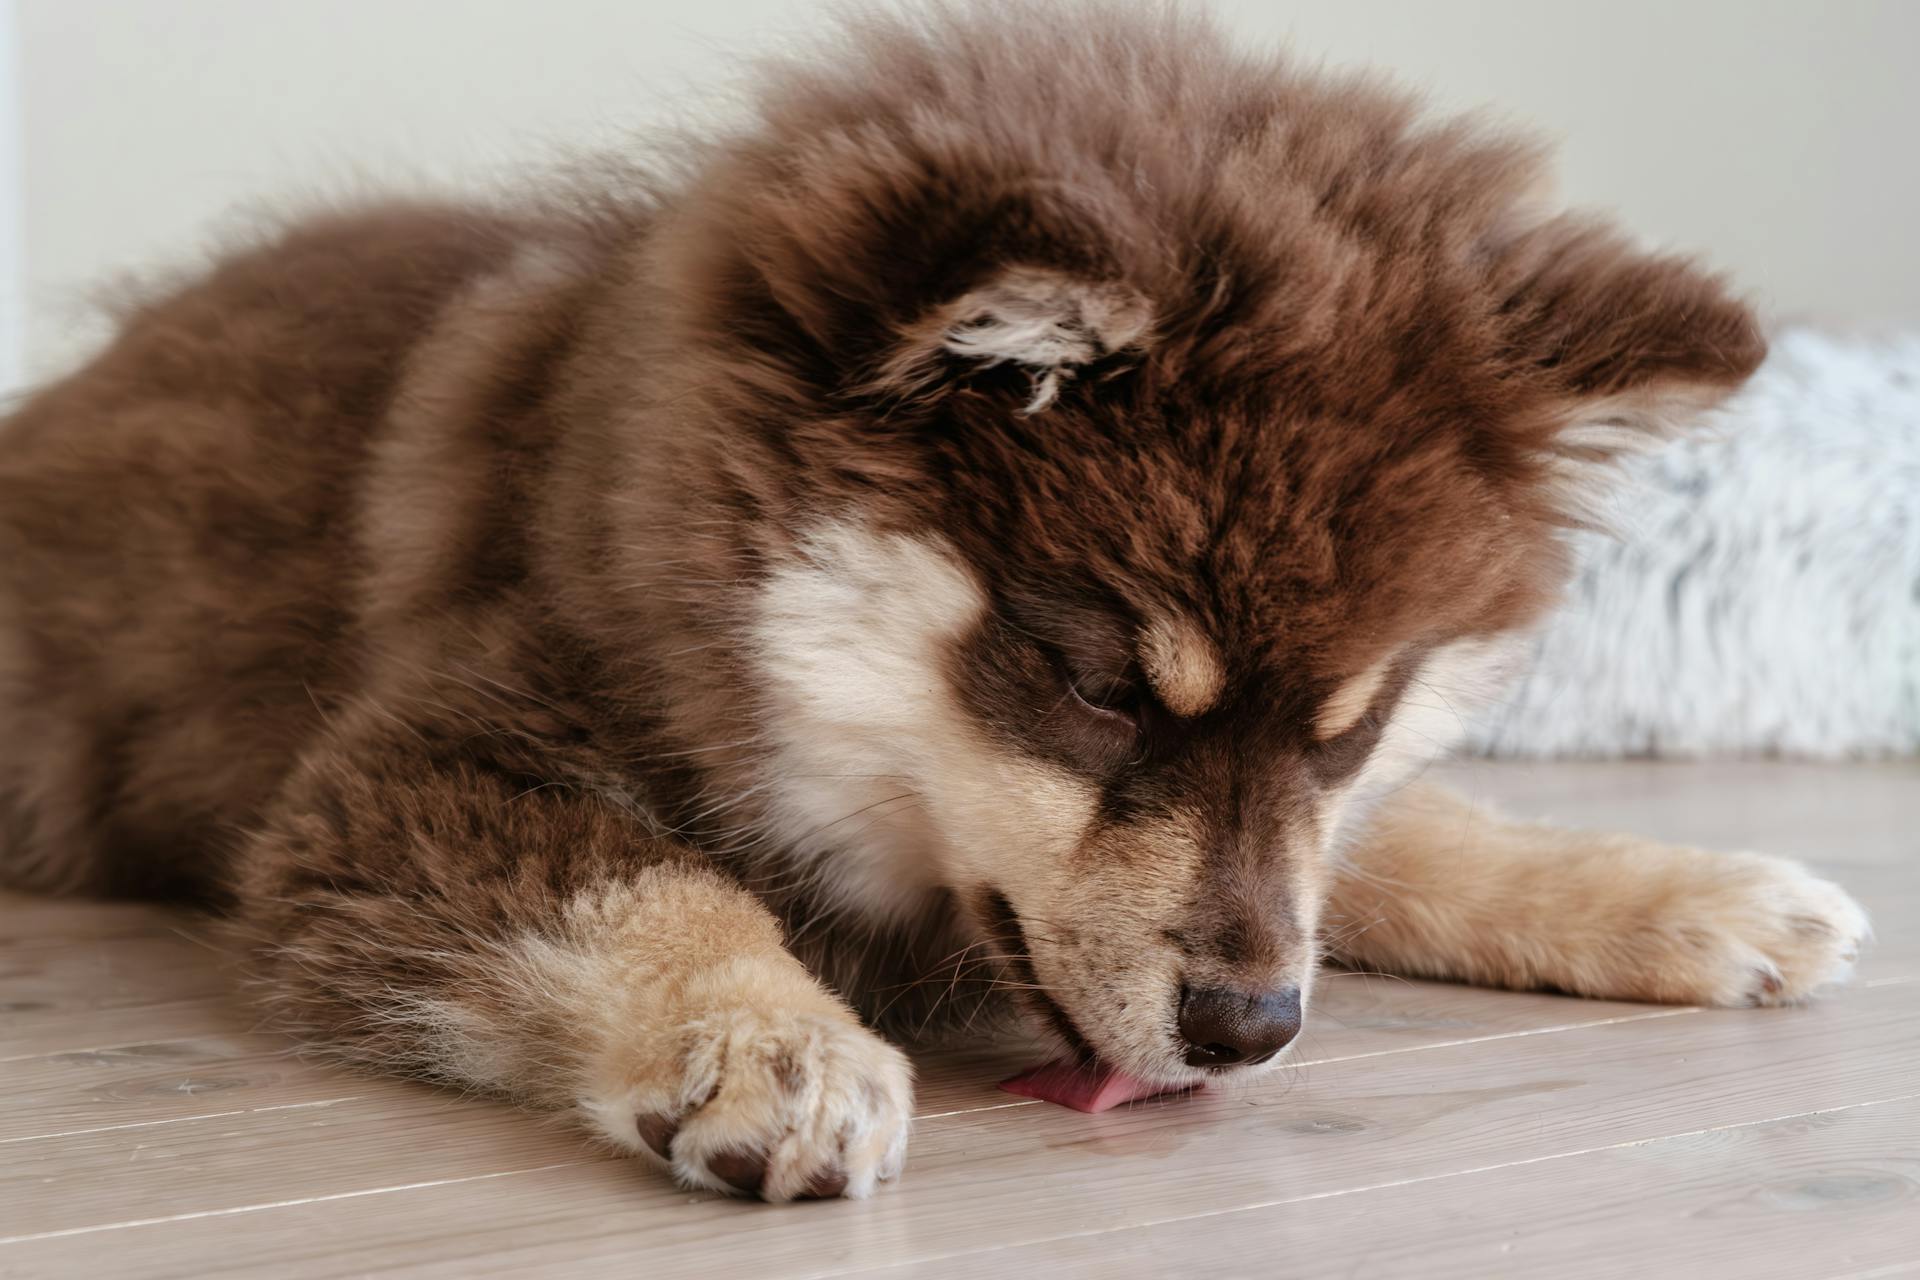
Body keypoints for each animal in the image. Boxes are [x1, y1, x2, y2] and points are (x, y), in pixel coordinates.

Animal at [0, 5, 1858, 1205]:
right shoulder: (405, 780)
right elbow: (649, 885)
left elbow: (1395, 847)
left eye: (1361, 723)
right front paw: (768, 1042)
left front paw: (1678, 891)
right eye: (1099, 684)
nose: (1250, 1031)